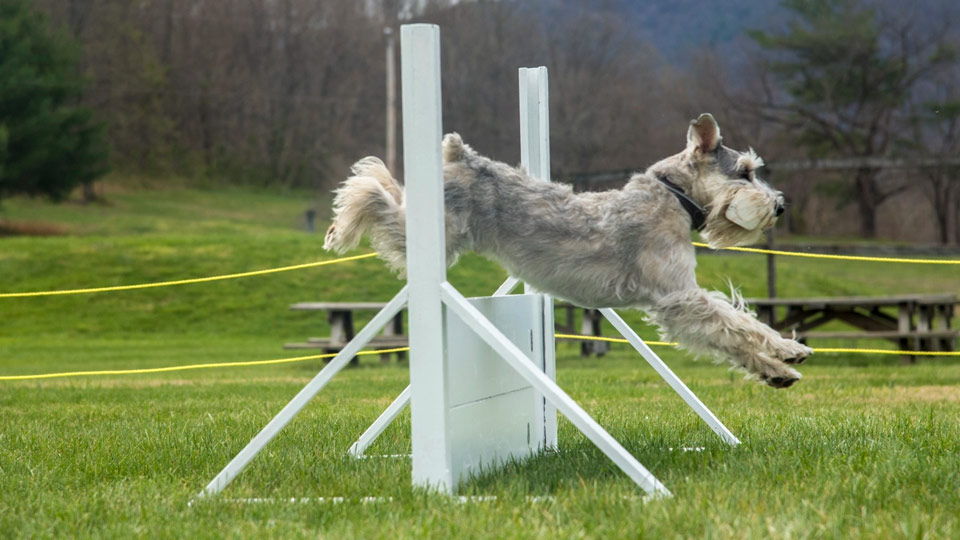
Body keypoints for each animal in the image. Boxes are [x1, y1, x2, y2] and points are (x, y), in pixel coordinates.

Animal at [322, 114, 808, 386]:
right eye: (745, 171)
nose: (781, 205)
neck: (673, 197)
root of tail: (462, 156)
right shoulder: (678, 296)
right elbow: (737, 322)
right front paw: (786, 349)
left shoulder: (679, 306)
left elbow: (727, 334)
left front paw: (778, 371)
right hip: (422, 234)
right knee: (372, 192)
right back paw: (341, 222)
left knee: (386, 192)